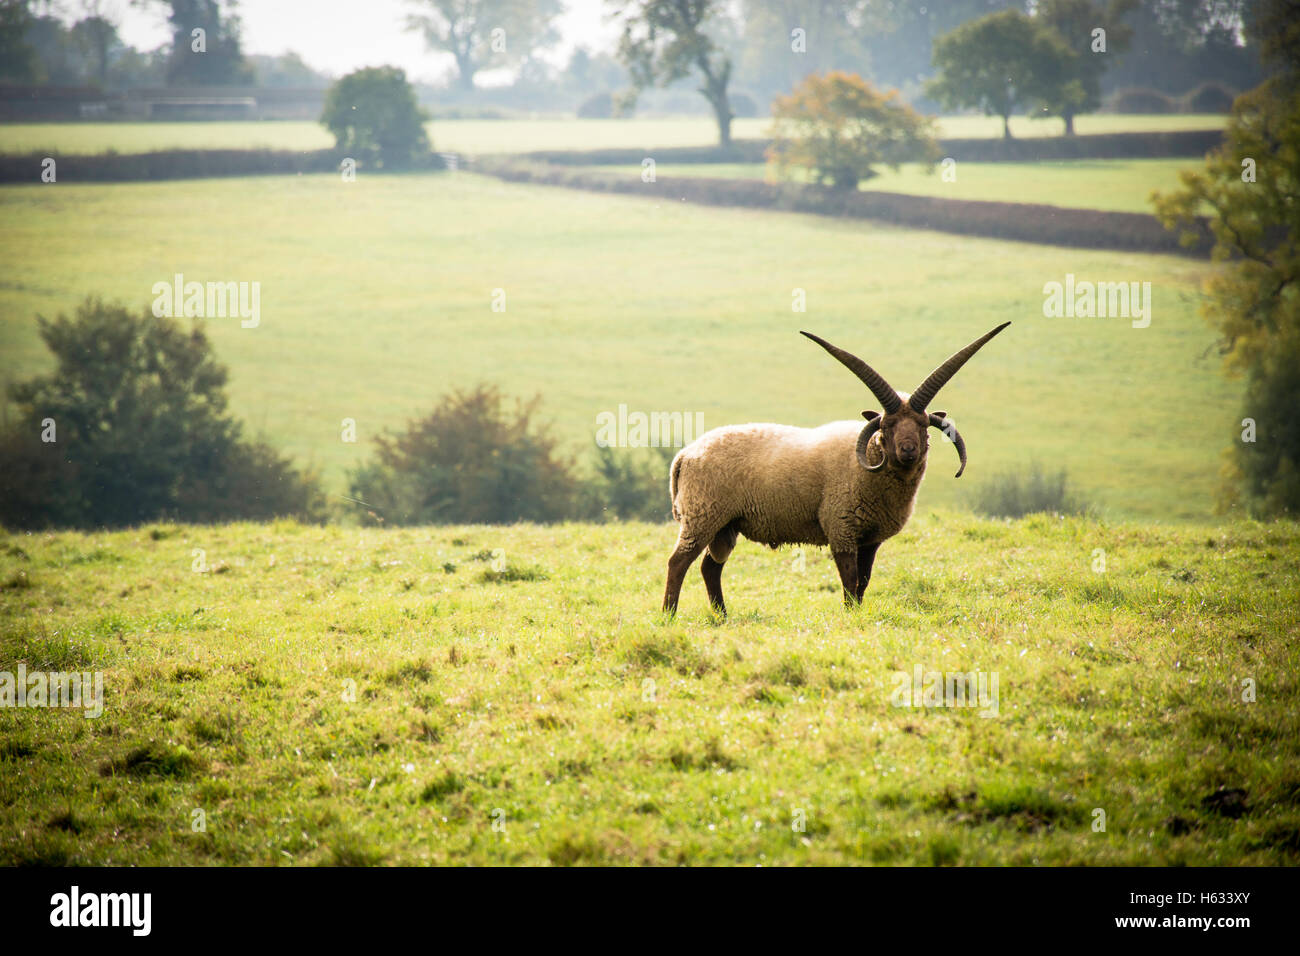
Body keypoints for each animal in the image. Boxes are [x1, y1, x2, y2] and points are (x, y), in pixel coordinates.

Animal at [665, 325, 1008, 616]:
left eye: (923, 425)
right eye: (887, 425)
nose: (908, 451)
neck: (868, 468)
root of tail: (685, 455)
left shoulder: (870, 538)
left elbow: (863, 581)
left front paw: (856, 613)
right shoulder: (841, 528)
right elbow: (849, 579)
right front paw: (850, 616)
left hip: (725, 525)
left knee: (710, 567)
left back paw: (722, 616)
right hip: (702, 515)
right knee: (678, 562)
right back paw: (669, 615)